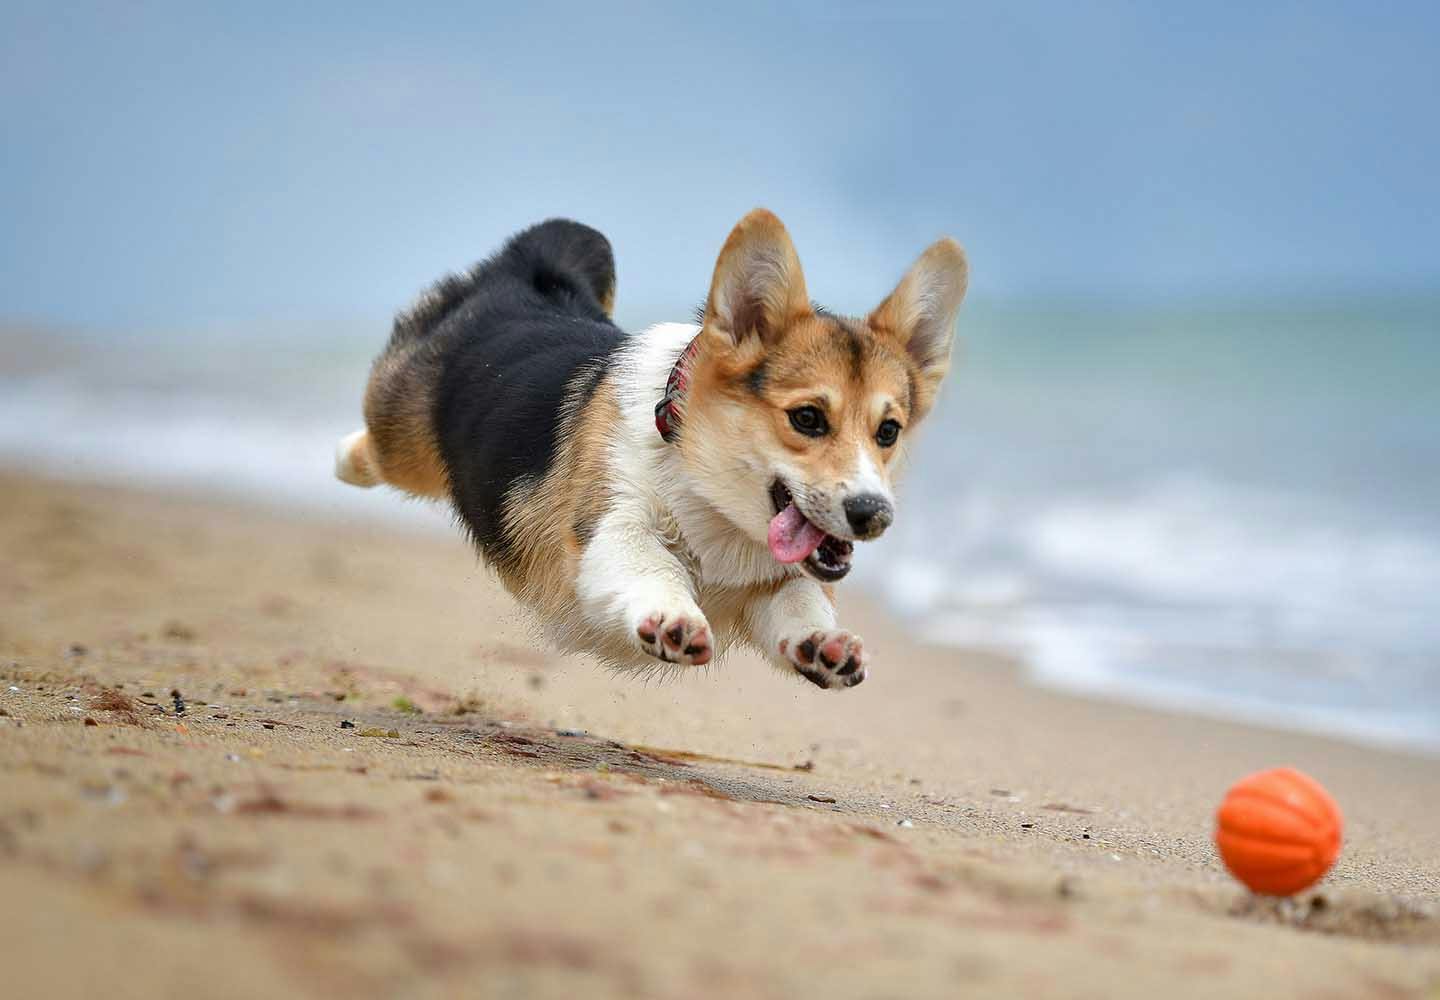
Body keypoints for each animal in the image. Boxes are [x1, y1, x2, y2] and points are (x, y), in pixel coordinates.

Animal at [336, 211, 967, 694]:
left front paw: (826, 646)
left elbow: (800, 601)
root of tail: (526, 274)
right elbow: (651, 562)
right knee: (372, 445)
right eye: (807, 418)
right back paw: (342, 459)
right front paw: (674, 619)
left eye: (888, 431)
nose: (873, 516)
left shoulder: (774, 582)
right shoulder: (607, 527)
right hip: (403, 440)